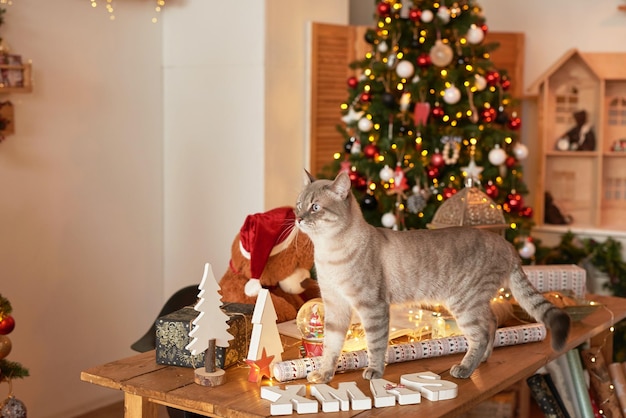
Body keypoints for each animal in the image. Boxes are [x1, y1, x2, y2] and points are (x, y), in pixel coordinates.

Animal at [294, 171, 568, 384]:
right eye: (298, 204)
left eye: (315, 207)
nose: (298, 218)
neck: (329, 252)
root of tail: (508, 244)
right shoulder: (335, 305)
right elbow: (330, 346)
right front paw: (323, 375)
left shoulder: (372, 306)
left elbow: (375, 343)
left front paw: (374, 371)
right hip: (475, 303)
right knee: (490, 324)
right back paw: (483, 359)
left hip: (464, 304)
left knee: (480, 334)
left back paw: (465, 368)